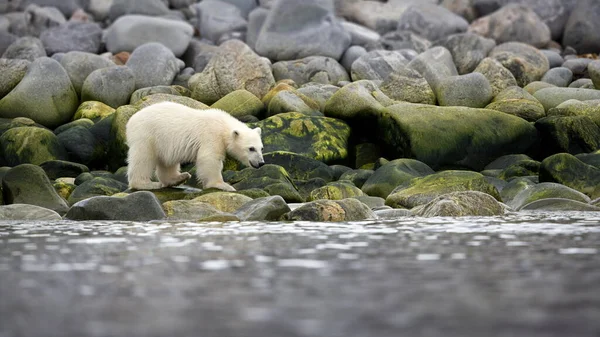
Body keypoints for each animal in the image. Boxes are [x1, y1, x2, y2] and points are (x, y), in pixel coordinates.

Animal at [125, 101, 264, 190]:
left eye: (261, 148)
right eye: (251, 148)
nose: (261, 163)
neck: (223, 126)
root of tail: (131, 121)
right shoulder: (211, 136)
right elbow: (209, 158)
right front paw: (223, 185)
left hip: (164, 142)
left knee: (167, 162)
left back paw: (180, 177)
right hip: (147, 135)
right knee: (143, 158)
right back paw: (147, 184)